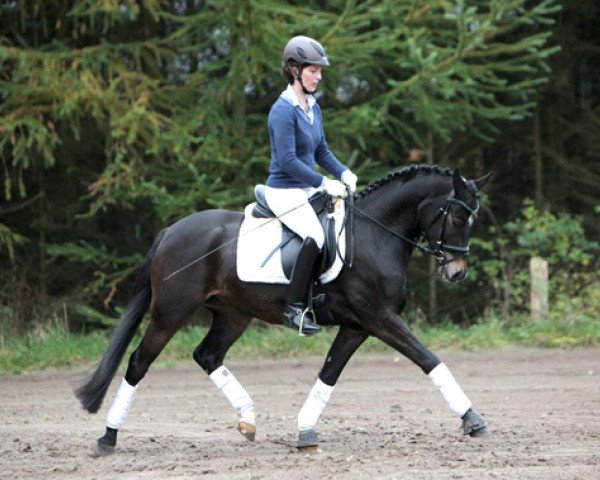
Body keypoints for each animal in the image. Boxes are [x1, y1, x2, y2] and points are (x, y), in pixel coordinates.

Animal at [76, 165, 488, 454]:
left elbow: (329, 374)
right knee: (138, 363)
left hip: (234, 314)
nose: (456, 272)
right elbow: (429, 359)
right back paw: (108, 438)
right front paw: (472, 419)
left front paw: (305, 429)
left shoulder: (359, 325)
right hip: (170, 312)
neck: (376, 235)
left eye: (474, 218)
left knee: (207, 355)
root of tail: (170, 232)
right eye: (457, 217)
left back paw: (248, 420)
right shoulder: (380, 318)